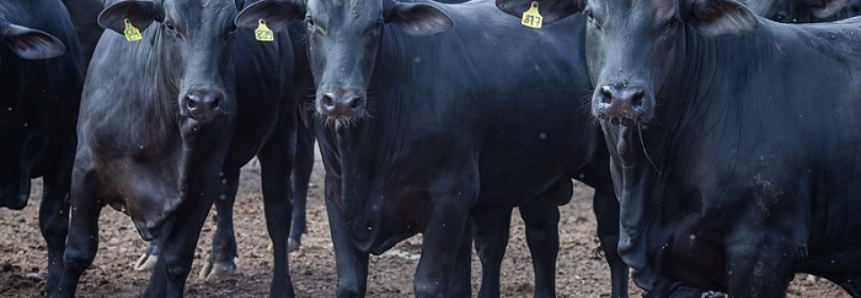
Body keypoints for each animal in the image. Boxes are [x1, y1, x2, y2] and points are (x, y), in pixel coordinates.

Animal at [52, 0, 302, 296]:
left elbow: (176, 260)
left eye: (231, 27)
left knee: (277, 213)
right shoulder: (84, 172)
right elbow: (77, 253)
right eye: (170, 26)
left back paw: (280, 287)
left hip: (282, 132)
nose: (203, 101)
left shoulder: (202, 184)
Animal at [239, 0, 628, 296]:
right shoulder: (337, 198)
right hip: (532, 177)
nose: (341, 101)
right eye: (310, 20)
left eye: (376, 23)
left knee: (613, 247)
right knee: (541, 239)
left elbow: (430, 283)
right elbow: (350, 283)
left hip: (609, 174)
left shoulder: (450, 199)